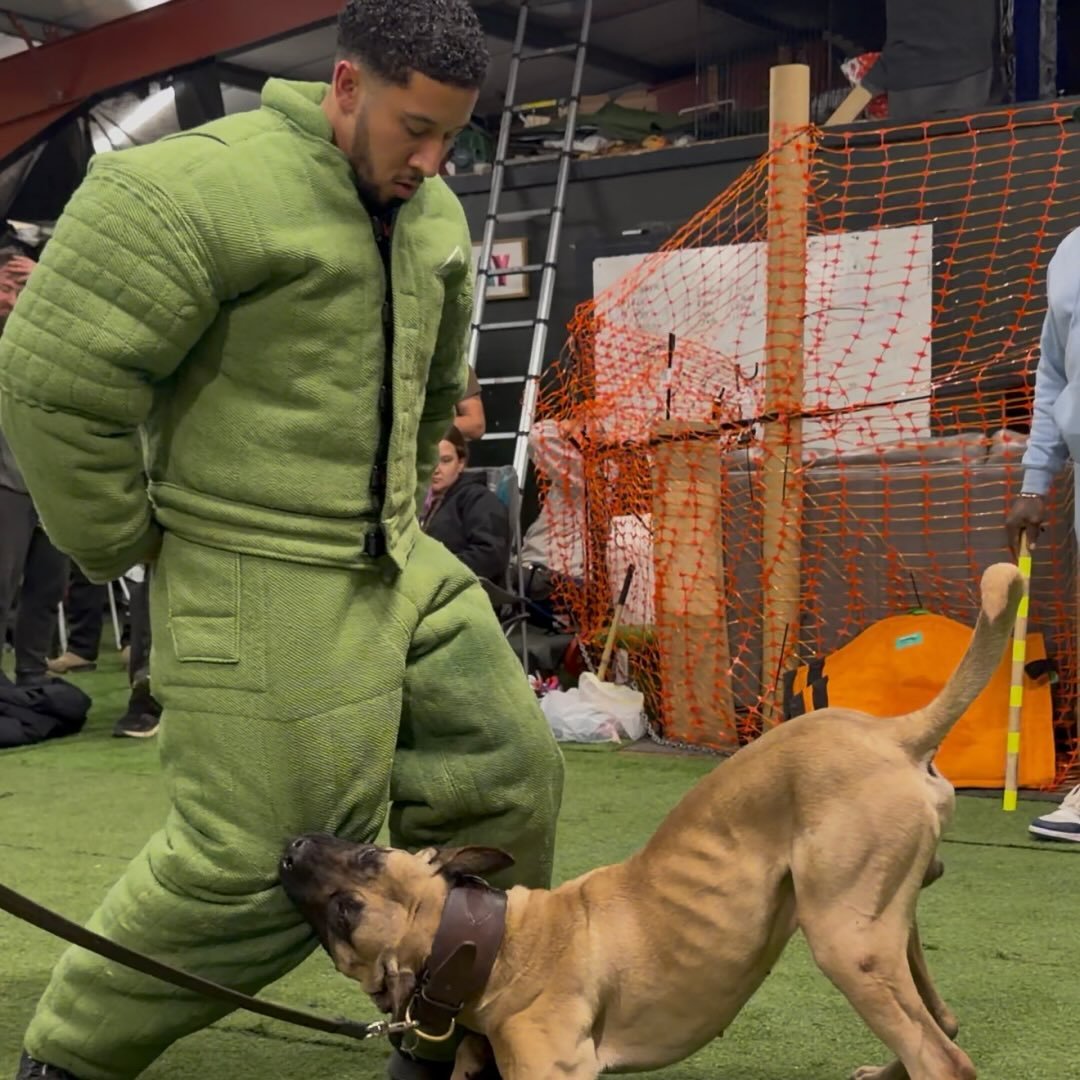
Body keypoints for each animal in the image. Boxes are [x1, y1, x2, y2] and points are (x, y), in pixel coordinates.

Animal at [280, 562, 1024, 1080]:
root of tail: (898, 733)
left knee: (943, 1058)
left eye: (349, 904)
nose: (291, 845)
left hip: (845, 940)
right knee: (945, 1023)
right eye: (370, 852)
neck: (497, 940)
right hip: (885, 925)